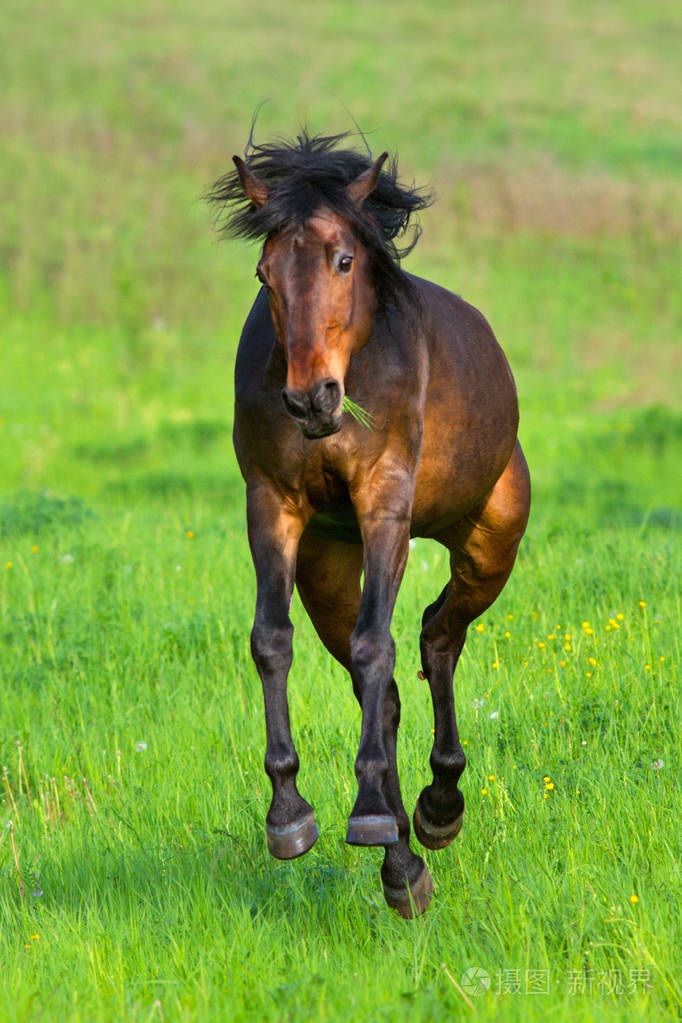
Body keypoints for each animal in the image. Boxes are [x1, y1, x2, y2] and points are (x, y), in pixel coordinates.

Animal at [205, 129, 531, 920]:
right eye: (264, 272)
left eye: (344, 260)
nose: (312, 399)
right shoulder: (271, 505)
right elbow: (272, 641)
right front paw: (289, 814)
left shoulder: (385, 501)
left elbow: (378, 644)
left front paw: (373, 812)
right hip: (327, 568)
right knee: (380, 689)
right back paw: (403, 859)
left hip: (492, 539)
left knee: (436, 636)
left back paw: (436, 808)